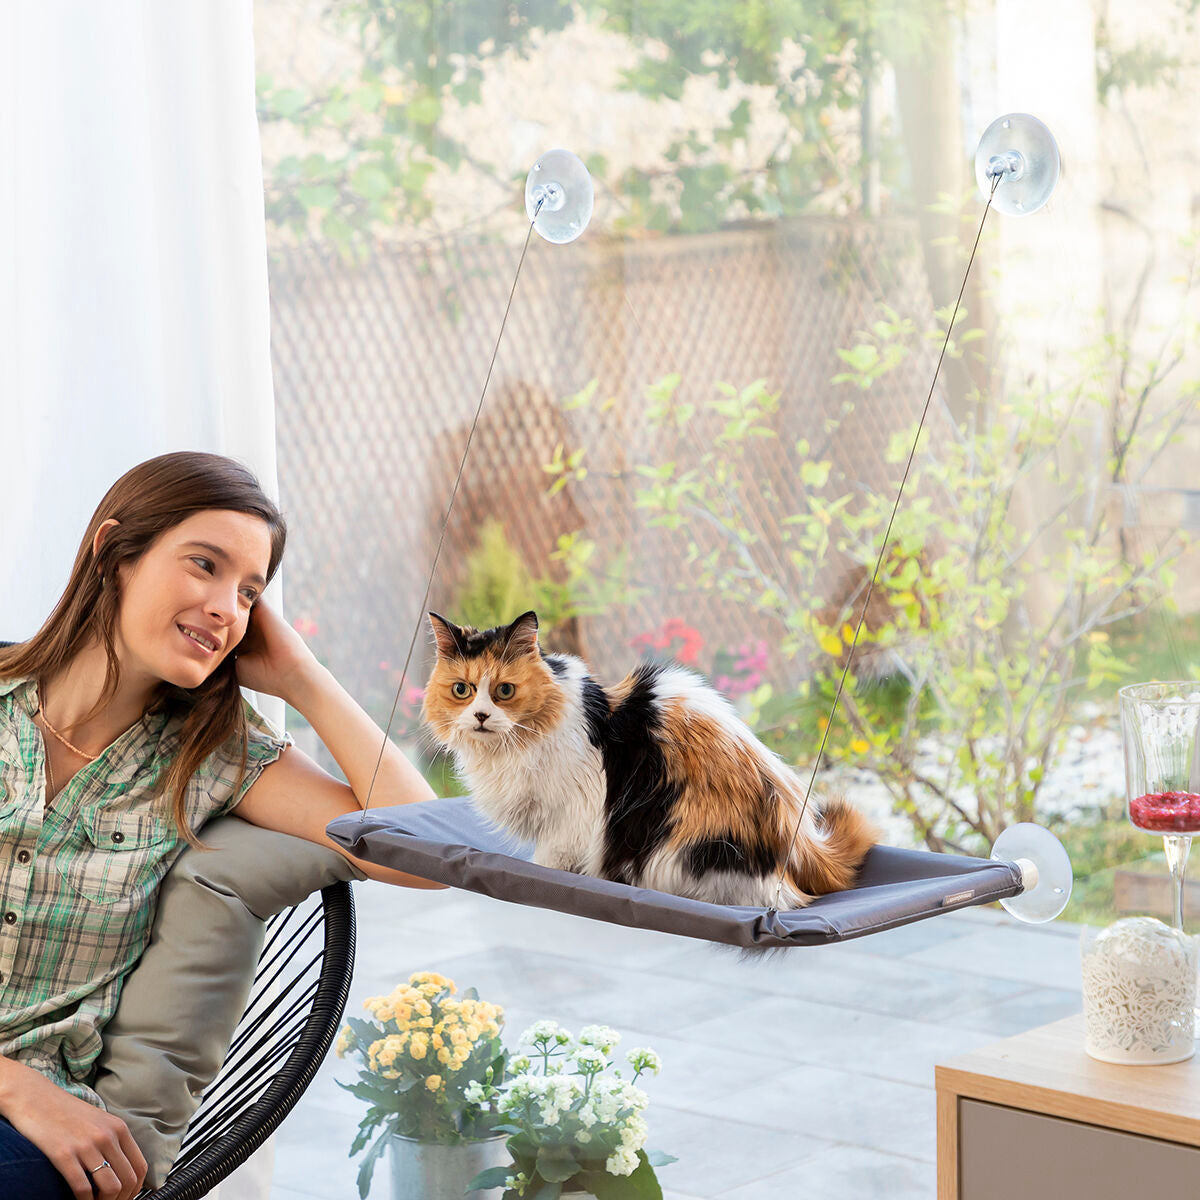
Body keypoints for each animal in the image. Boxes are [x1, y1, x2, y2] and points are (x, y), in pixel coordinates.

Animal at [422, 614, 873, 902]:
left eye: (504, 691)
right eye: (462, 690)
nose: (480, 716)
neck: (508, 751)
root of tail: (800, 839)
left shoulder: (571, 818)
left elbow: (551, 861)